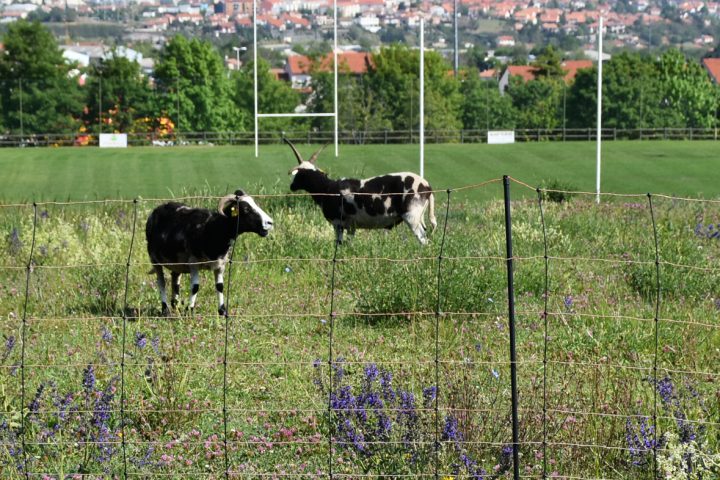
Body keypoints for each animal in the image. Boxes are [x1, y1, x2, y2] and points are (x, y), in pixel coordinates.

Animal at [284, 138, 436, 244]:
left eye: (298, 174)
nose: (291, 186)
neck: (326, 188)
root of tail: (427, 187)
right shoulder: (351, 226)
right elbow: (349, 243)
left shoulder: (338, 223)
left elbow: (338, 243)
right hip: (420, 216)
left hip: (412, 216)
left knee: (423, 239)